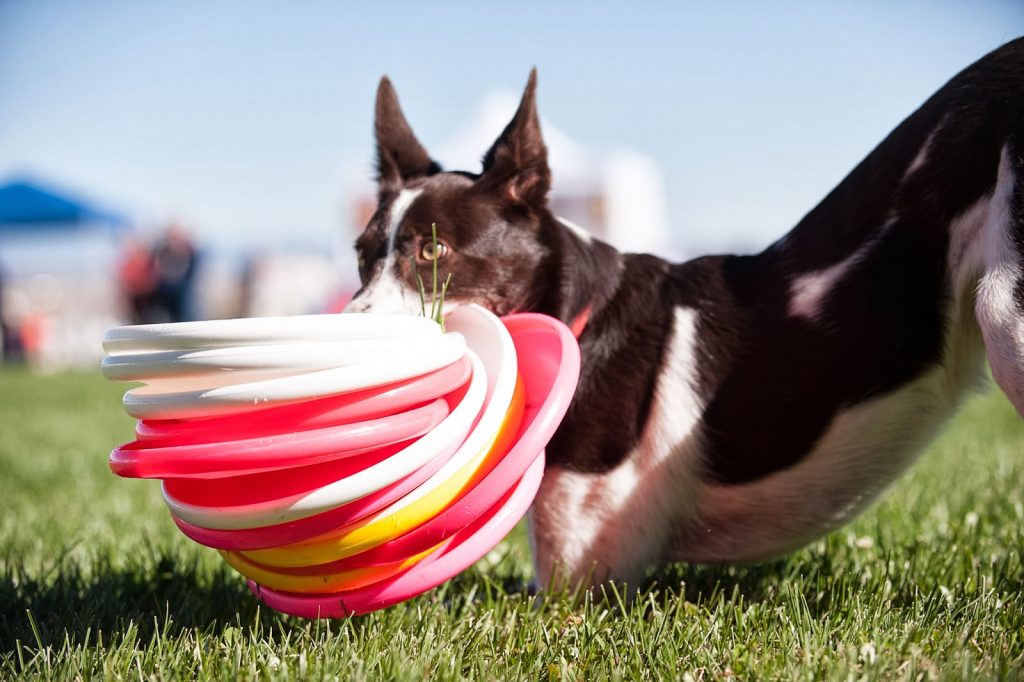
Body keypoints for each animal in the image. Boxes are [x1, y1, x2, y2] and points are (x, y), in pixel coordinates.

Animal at [346, 38, 1024, 589]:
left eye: (433, 251)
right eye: (359, 254)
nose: (348, 333)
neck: (583, 319)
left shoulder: (580, 583)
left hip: (1003, 315)